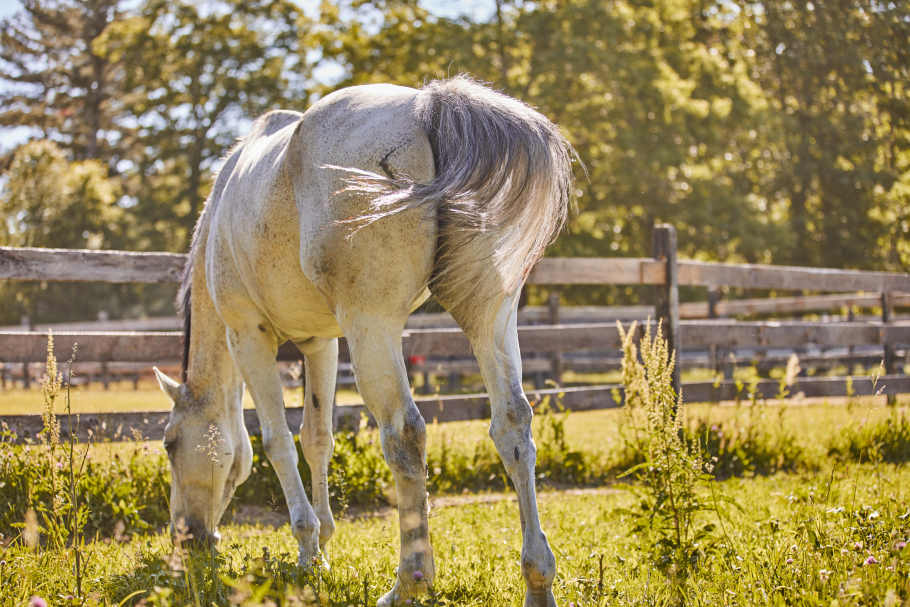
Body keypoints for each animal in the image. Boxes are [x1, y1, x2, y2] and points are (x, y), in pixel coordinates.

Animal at [152, 77, 572, 607]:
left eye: (170, 444)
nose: (186, 540)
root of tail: (430, 104)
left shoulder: (249, 336)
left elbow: (276, 441)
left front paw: (309, 548)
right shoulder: (320, 345)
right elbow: (316, 438)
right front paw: (321, 547)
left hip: (372, 328)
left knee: (404, 434)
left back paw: (410, 582)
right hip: (488, 318)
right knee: (513, 424)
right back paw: (537, 580)